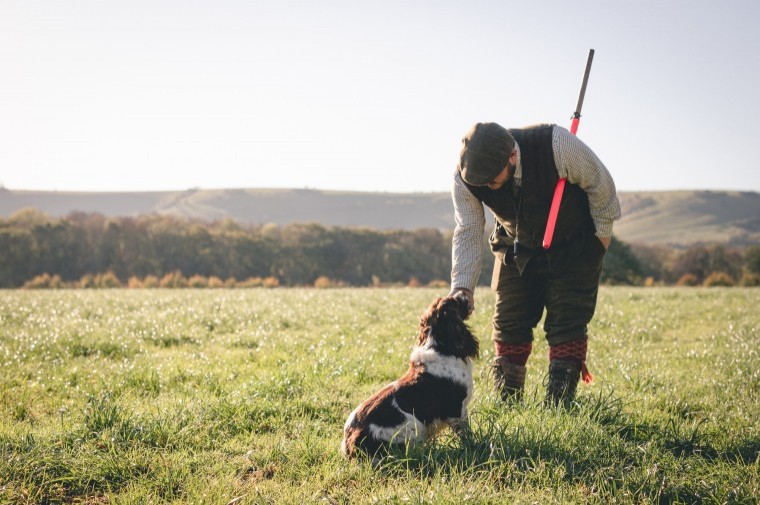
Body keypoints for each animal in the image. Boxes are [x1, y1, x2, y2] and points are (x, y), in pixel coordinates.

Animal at [342, 292, 478, 460]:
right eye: (454, 301)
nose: (462, 293)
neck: (440, 346)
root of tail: (350, 443)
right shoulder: (457, 410)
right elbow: (466, 435)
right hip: (413, 425)